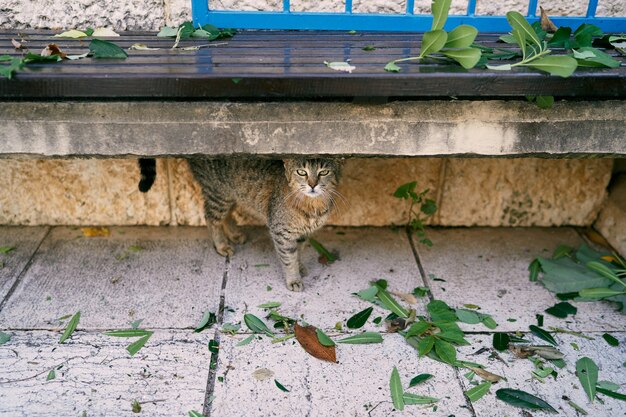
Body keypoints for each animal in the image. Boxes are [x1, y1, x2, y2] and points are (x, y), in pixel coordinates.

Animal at [137, 156, 342, 290]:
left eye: (324, 172)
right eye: (301, 172)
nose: (313, 184)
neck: (313, 205)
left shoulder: (303, 234)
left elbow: (298, 252)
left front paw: (300, 266)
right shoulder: (281, 232)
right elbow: (288, 258)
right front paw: (294, 279)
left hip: (231, 194)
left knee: (226, 215)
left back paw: (234, 234)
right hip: (218, 194)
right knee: (211, 217)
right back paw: (221, 244)